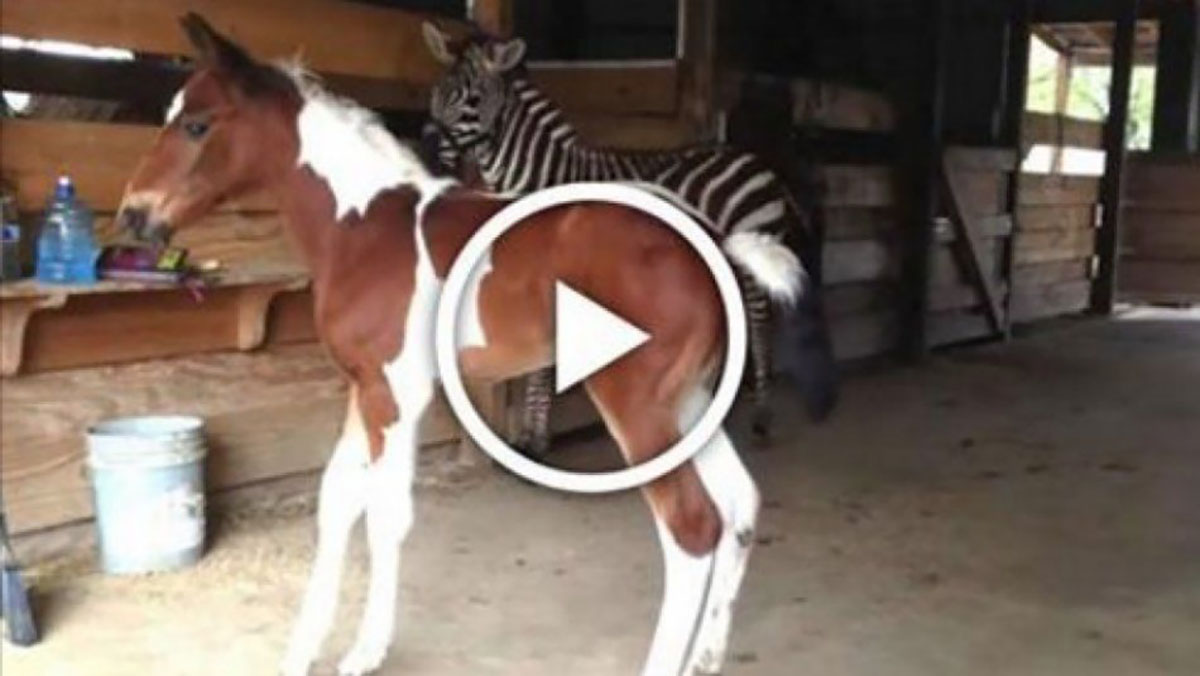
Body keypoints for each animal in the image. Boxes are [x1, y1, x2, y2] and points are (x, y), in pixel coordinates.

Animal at [422, 23, 835, 453]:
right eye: (436, 91)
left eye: (473, 98)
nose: (427, 151)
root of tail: (757, 162)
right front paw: (529, 434)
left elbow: (542, 365)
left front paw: (535, 441)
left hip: (756, 252)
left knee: (759, 330)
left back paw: (760, 421)